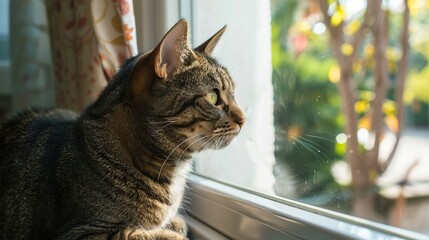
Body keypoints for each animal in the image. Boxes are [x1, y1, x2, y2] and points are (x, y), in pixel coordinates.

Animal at [0, 19, 244, 240]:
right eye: (213, 98)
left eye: (234, 94)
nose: (243, 119)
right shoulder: (81, 232)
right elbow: (137, 233)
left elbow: (176, 224)